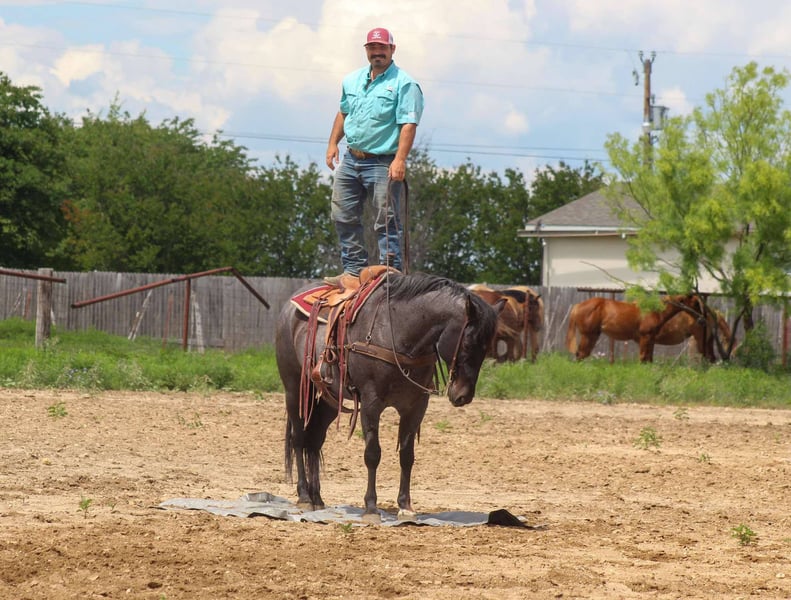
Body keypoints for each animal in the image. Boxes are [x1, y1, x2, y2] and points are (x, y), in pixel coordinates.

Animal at [276, 271, 499, 522]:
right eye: (468, 343)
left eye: (486, 348)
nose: (463, 396)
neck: (399, 335)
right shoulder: (371, 403)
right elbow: (373, 453)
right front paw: (371, 508)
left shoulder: (416, 406)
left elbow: (407, 456)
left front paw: (406, 506)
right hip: (294, 390)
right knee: (298, 439)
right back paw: (305, 496)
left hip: (328, 401)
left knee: (314, 441)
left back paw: (317, 498)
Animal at [565, 294, 702, 363]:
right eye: (695, 303)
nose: (701, 318)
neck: (654, 311)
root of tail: (577, 306)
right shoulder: (645, 337)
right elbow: (643, 358)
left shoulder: (651, 339)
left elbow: (649, 359)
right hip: (588, 336)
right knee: (581, 354)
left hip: (593, 336)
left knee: (582, 354)